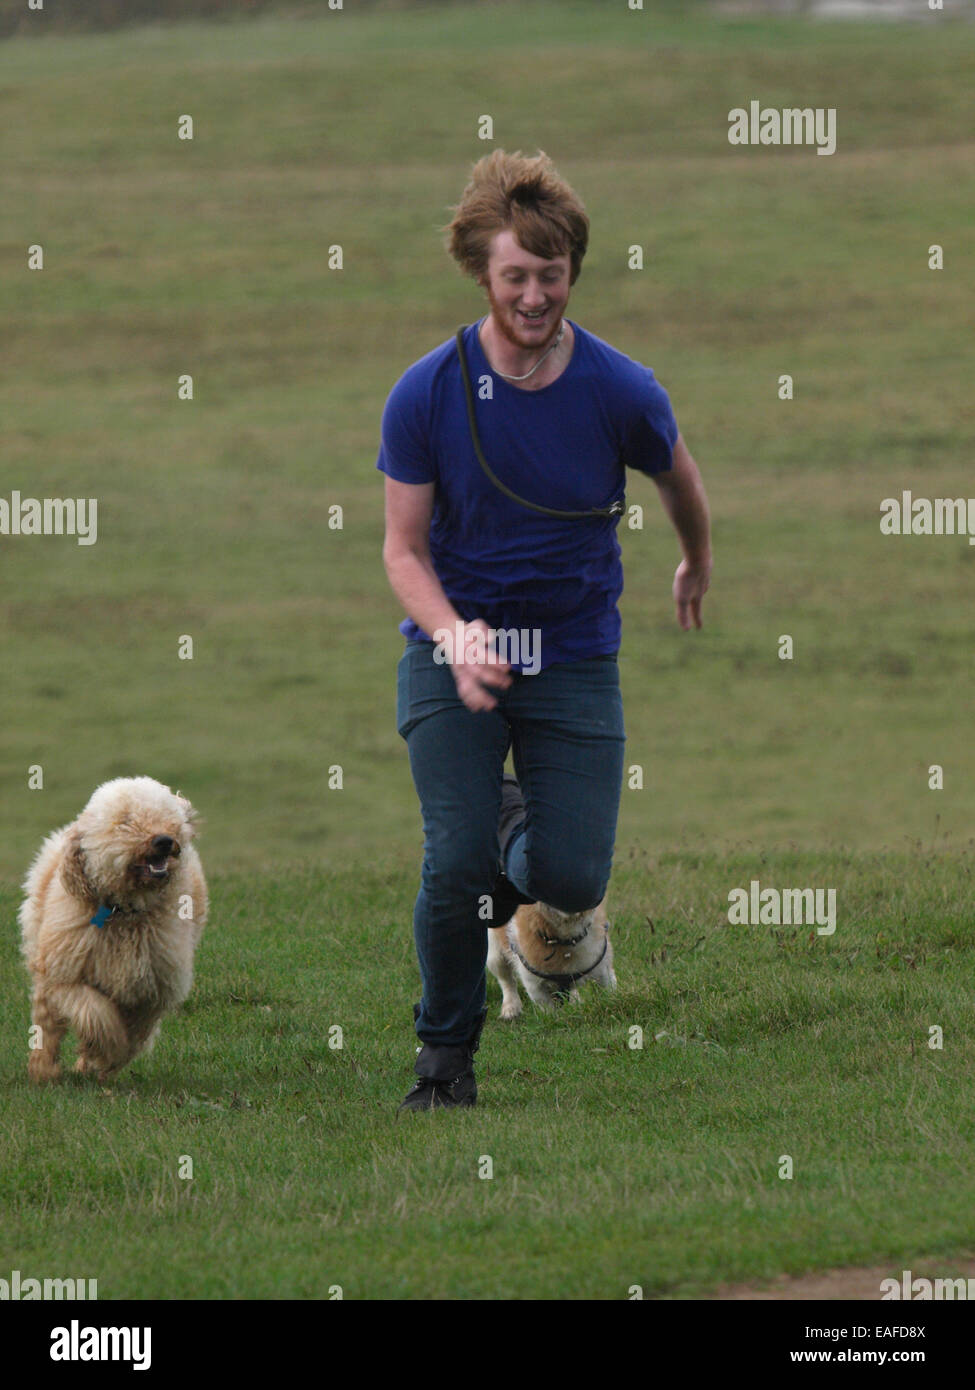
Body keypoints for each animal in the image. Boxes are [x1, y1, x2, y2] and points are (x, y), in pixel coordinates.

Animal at [18, 778, 207, 1078]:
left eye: (167, 816)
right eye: (125, 822)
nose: (164, 840)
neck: (125, 912)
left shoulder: (150, 989)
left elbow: (134, 1035)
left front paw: (102, 1061)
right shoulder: (65, 975)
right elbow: (95, 1013)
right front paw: (100, 1052)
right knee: (47, 1022)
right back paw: (43, 1070)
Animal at [486, 895, 614, 1017]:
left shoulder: (604, 970)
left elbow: (608, 992)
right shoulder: (535, 986)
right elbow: (550, 1010)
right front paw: (558, 1019)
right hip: (495, 957)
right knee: (507, 981)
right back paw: (511, 1007)